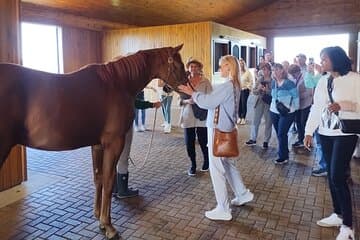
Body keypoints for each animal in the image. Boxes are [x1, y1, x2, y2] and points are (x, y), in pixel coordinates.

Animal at [0, 44, 186, 238]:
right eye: (178, 64)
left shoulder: (97, 145)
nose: (186, 87)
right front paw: (108, 226)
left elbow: (99, 178)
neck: (118, 83)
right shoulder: (114, 144)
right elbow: (109, 181)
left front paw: (98, 216)